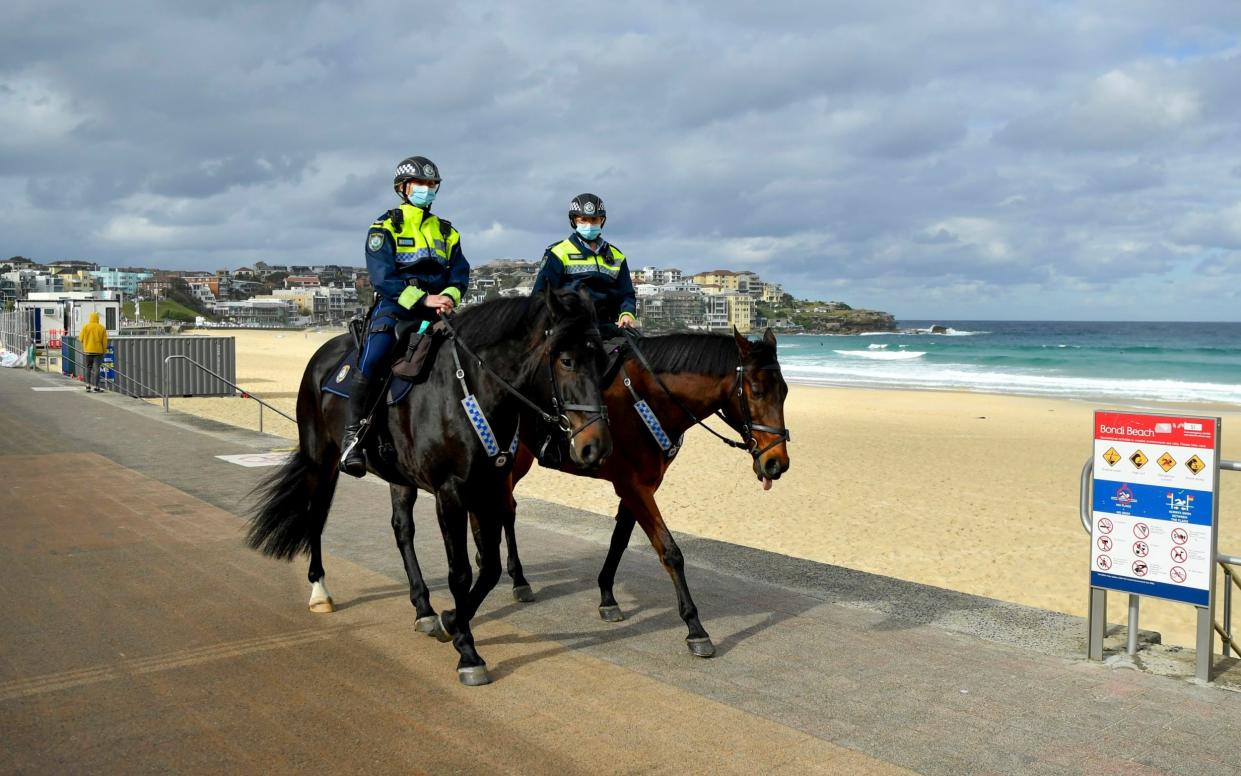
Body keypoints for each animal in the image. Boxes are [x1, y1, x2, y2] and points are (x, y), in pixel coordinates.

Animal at [243, 290, 610, 685]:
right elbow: (461, 572)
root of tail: (322, 356)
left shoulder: (490, 488)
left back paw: (424, 608)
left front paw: (451, 620)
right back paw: (320, 591)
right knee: (315, 517)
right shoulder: (451, 494)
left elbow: (490, 568)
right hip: (320, 460)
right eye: (567, 360)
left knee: (402, 530)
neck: (469, 390)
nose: (596, 446)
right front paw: (467, 652)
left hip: (399, 479)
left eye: (603, 360)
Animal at [382, 325, 789, 655]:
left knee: (505, 509)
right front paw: (695, 627)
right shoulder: (635, 487)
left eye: (784, 393)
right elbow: (670, 552)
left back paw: (510, 574)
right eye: (755, 391)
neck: (645, 398)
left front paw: (607, 595)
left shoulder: (639, 486)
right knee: (498, 510)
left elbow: (620, 541)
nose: (777, 463)